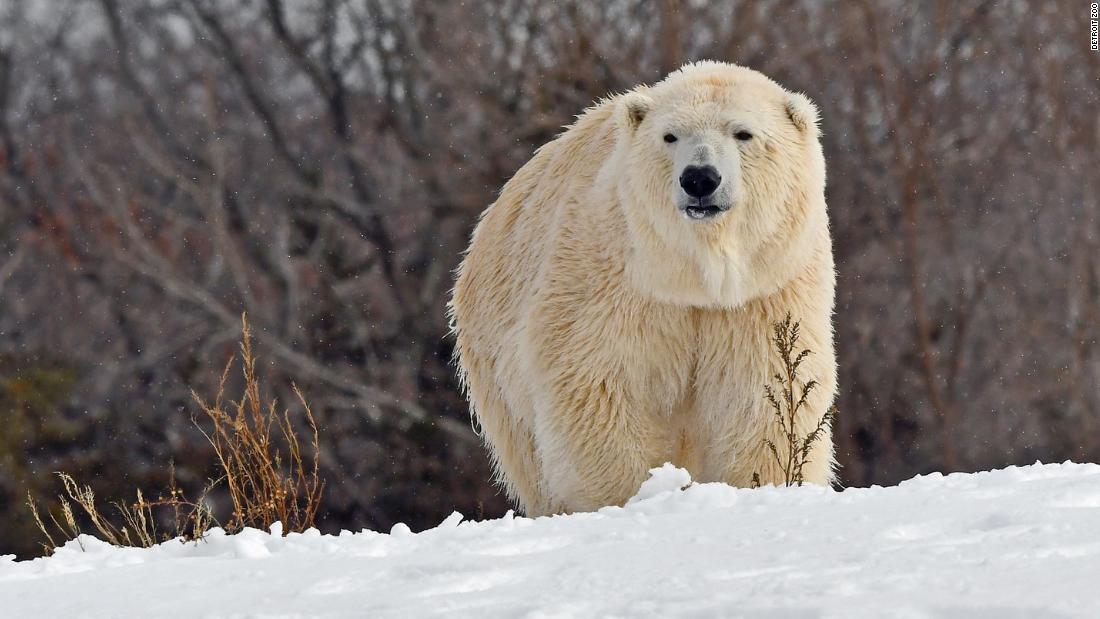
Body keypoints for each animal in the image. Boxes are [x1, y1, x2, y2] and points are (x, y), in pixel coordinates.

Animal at [446, 60, 831, 516]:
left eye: (743, 133)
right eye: (670, 135)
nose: (699, 178)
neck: (693, 276)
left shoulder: (763, 292)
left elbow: (762, 390)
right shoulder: (615, 281)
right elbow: (594, 383)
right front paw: (630, 497)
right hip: (496, 365)